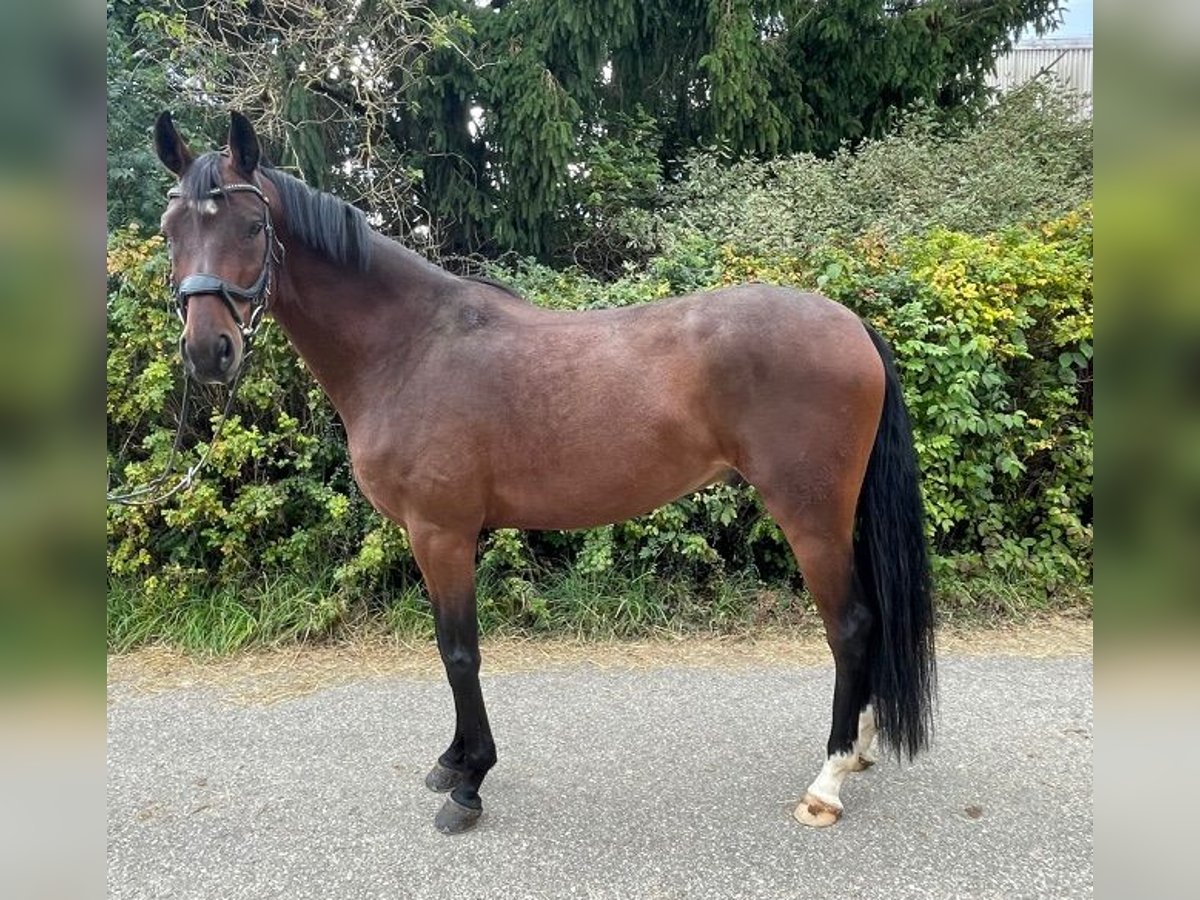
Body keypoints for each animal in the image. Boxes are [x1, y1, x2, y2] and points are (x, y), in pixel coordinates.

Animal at [151, 110, 936, 835]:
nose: (208, 352)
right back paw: (862, 750)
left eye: (253, 226)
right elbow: (449, 648)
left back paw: (828, 779)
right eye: (168, 230)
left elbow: (459, 652)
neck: (409, 347)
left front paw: (469, 783)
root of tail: (850, 323)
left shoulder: (441, 532)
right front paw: (452, 762)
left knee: (851, 626)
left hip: (811, 517)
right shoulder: (433, 535)